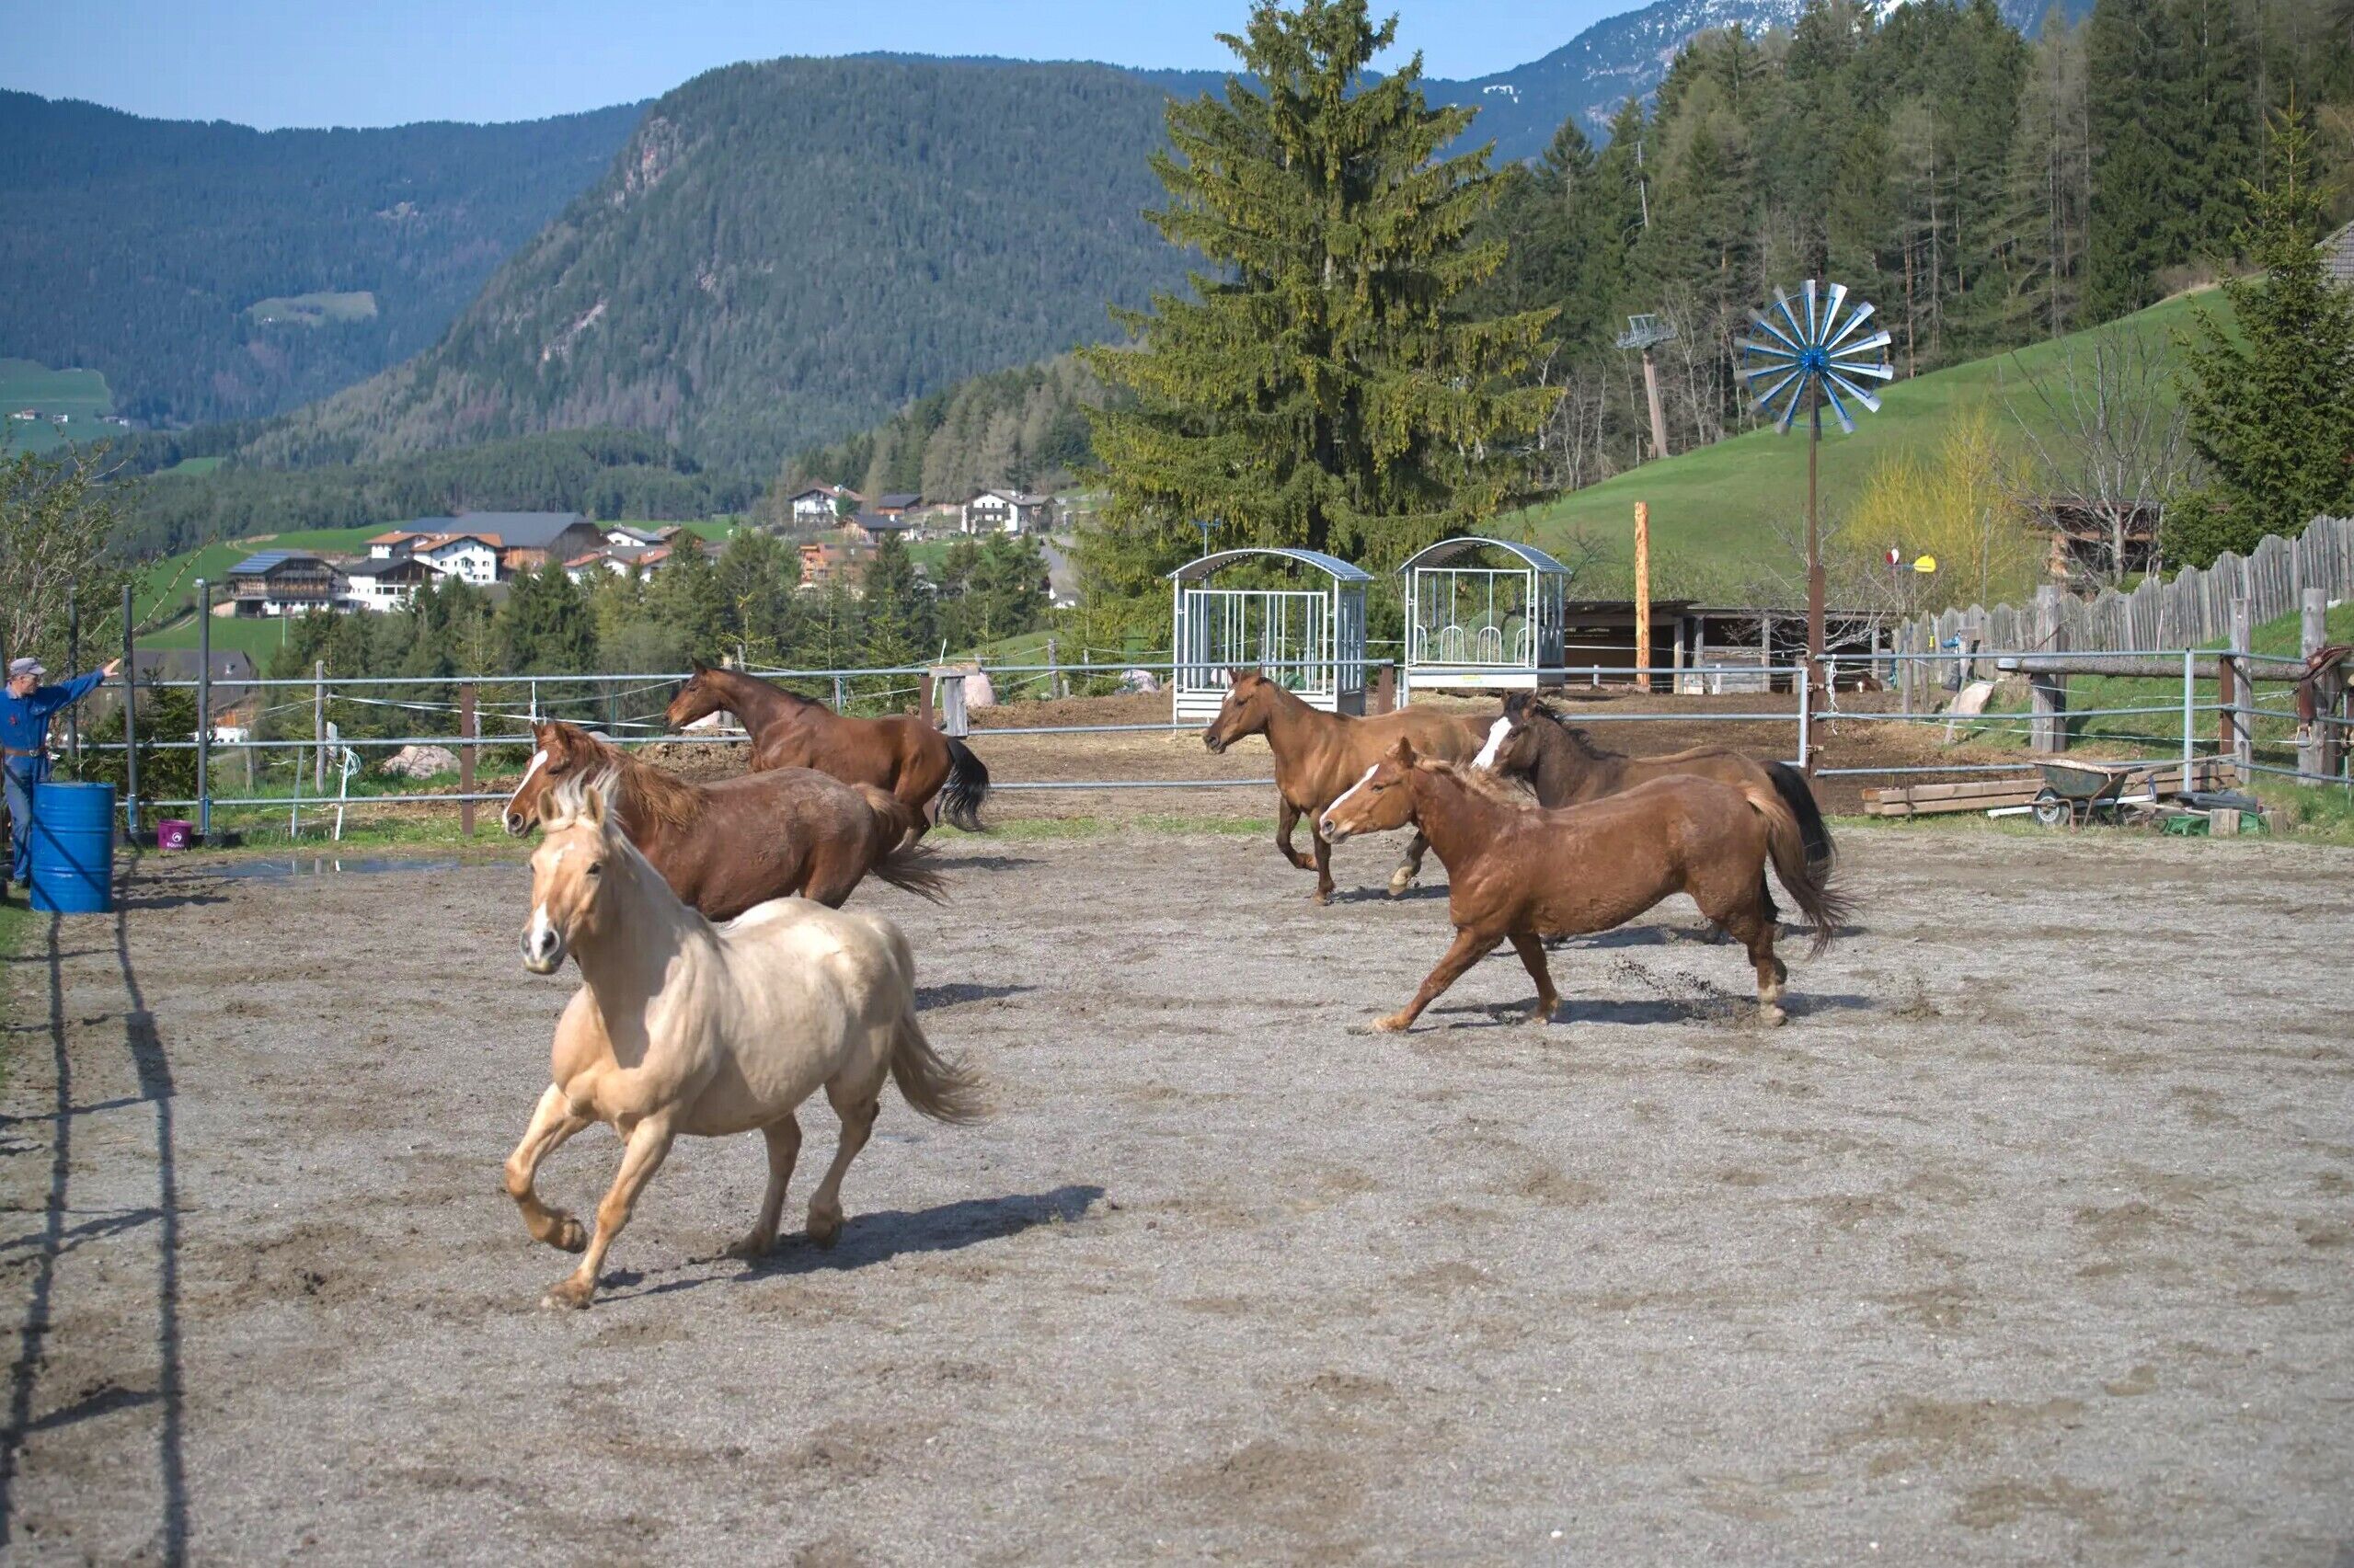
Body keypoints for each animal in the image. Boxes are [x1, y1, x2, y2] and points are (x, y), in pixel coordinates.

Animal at [503, 721, 944, 919]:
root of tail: (856, 795)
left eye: (555, 769)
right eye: (528, 764)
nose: (513, 818)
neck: (654, 830)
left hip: (824, 891)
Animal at [505, 770, 985, 1309]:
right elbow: (517, 1172)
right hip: (771, 1094)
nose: (539, 945)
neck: (629, 1011)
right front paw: (565, 1233)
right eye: (534, 864)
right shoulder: (566, 1099)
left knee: (856, 1129)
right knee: (787, 1147)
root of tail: (869, 929)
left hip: (852, 1082)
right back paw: (757, 1239)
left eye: (594, 867)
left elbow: (615, 1206)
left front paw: (576, 1287)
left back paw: (822, 1221)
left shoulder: (656, 1126)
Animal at [665, 660, 989, 838]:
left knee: (913, 826)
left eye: (693, 688)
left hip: (908, 793)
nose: (669, 717)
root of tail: (943, 740)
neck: (780, 724)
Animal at [1201, 668, 1491, 904]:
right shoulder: (1290, 803)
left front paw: (1323, 890)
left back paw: (1402, 876)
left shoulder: (1320, 810)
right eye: (1223, 699)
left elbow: (1323, 849)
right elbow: (1283, 841)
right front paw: (1309, 863)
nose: (1210, 739)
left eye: (1241, 701)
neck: (1308, 746)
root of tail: (1461, 729)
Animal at [1321, 738, 1849, 1033]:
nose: (1327, 823)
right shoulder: (1520, 927)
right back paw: (1778, 981)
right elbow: (1538, 970)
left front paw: (1392, 1022)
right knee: (1767, 933)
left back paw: (1770, 1004)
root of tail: (1742, 793)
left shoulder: (1480, 932)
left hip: (1725, 901)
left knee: (1761, 935)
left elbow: (1435, 979)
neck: (1490, 842)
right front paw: (1544, 1013)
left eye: (1379, 785)